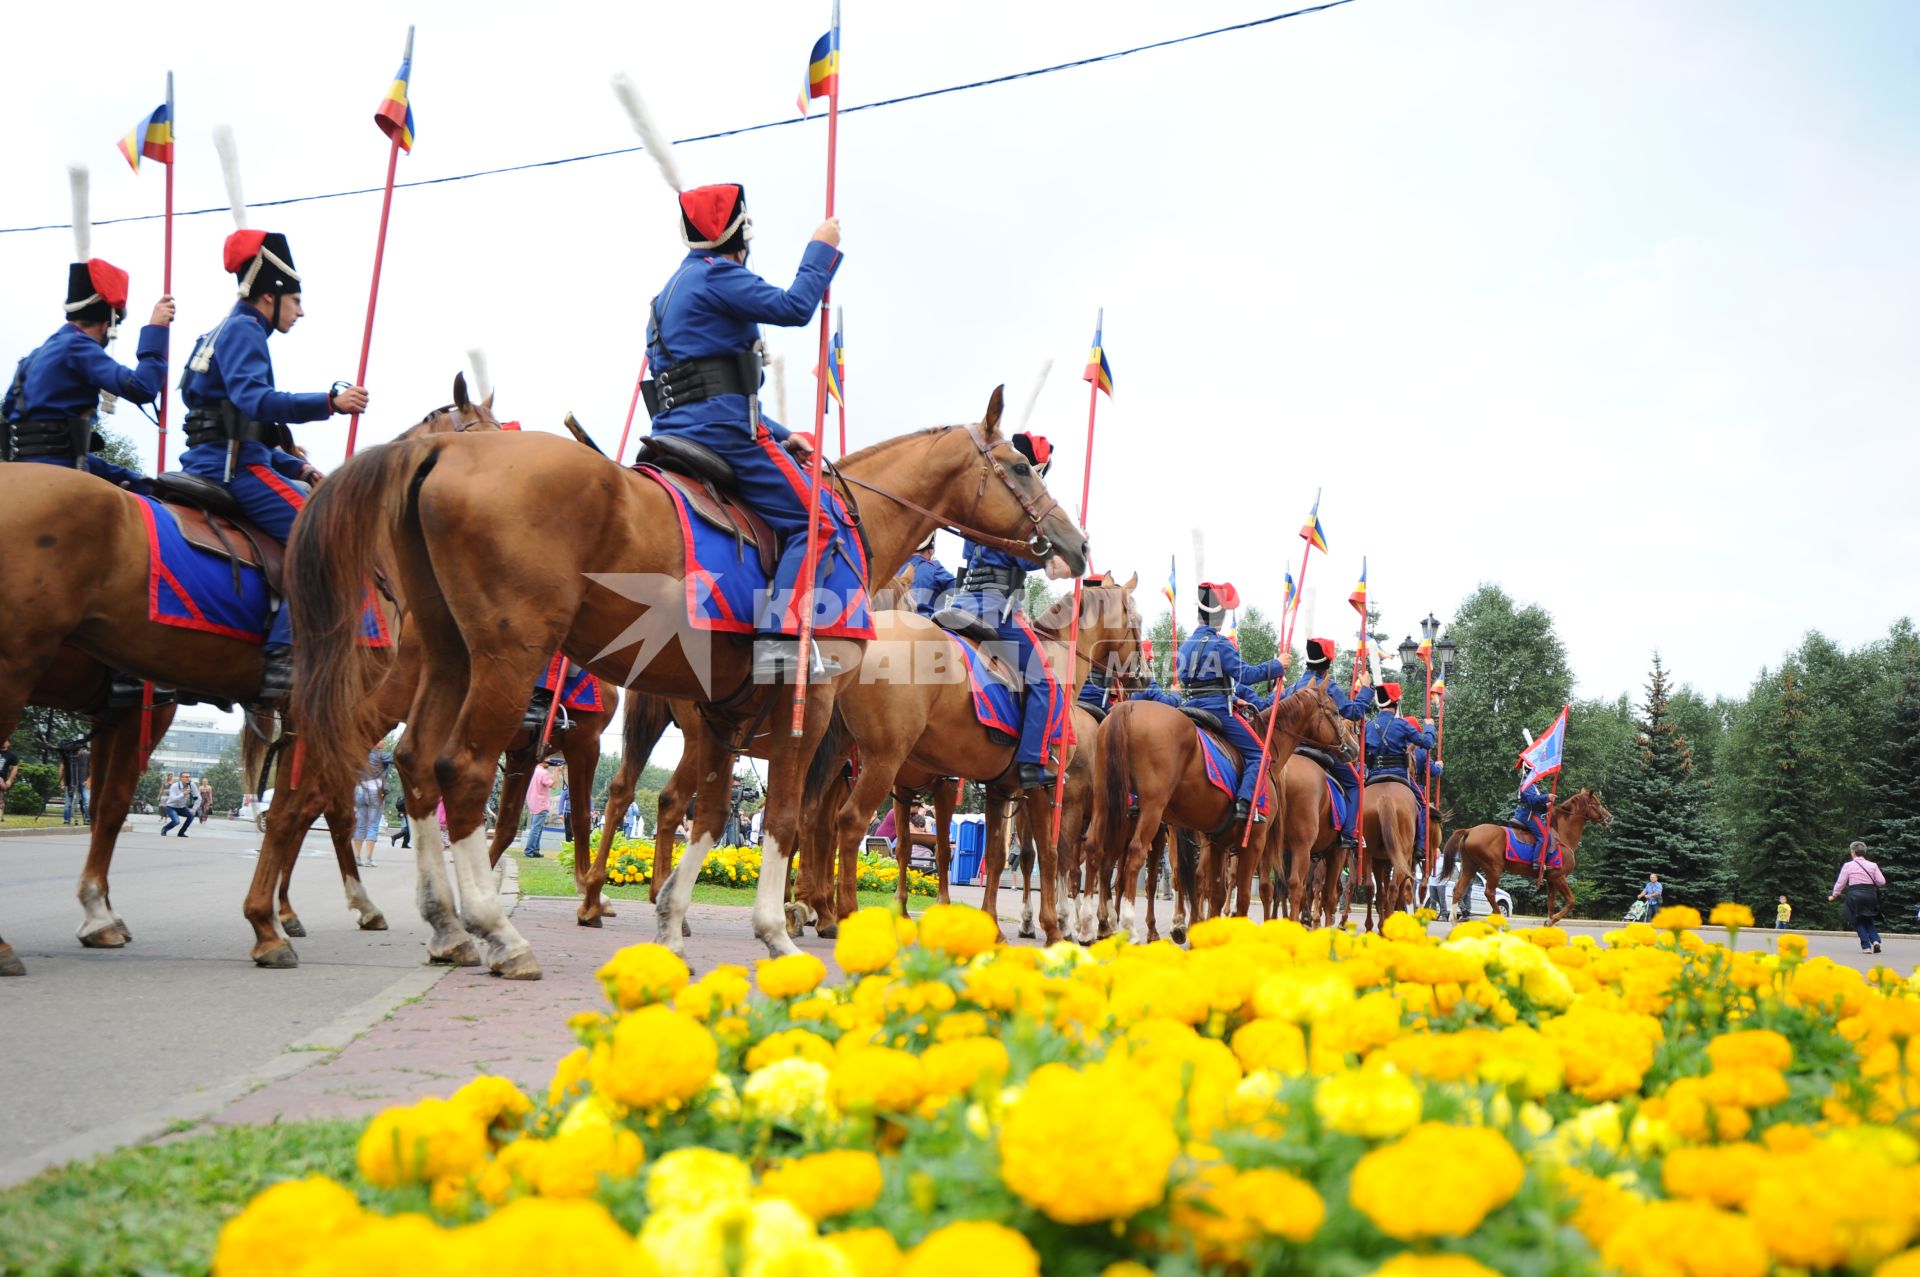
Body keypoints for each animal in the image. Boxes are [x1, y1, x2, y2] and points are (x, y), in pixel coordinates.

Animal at [289, 384, 1090, 971]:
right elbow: (785, 819)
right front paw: (777, 928)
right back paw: (496, 929)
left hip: (453, 656)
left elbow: (708, 814)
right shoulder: (806, 705)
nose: (1075, 544)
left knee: (415, 762)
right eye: (1020, 467)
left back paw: (447, 924)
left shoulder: (720, 714)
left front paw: (672, 920)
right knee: (462, 770)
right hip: (507, 659)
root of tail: (444, 449)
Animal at [814, 572, 1136, 940]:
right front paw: (1053, 927)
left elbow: (992, 854)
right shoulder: (1043, 787)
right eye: (1136, 620)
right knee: (850, 822)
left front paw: (991, 925)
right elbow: (1050, 854)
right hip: (882, 762)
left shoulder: (999, 789)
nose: (1140, 674)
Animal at [1098, 683, 1351, 940]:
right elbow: (1246, 895)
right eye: (1336, 712)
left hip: (1109, 807)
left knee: (1102, 853)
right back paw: (1129, 926)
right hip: (1153, 811)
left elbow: (1217, 891)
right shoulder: (1256, 841)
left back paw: (1105, 924)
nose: (1352, 748)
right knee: (1136, 856)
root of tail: (1128, 707)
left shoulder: (1218, 842)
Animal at [1436, 783, 1612, 921]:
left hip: (1469, 866)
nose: (1610, 817)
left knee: (1458, 890)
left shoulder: (1551, 879)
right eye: (1597, 803)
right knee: (1490, 893)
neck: (1562, 834)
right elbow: (1571, 901)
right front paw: (1553, 920)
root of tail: (1470, 830)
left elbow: (1550, 904)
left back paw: (1453, 920)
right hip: (1494, 868)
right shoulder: (1559, 877)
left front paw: (1549, 924)